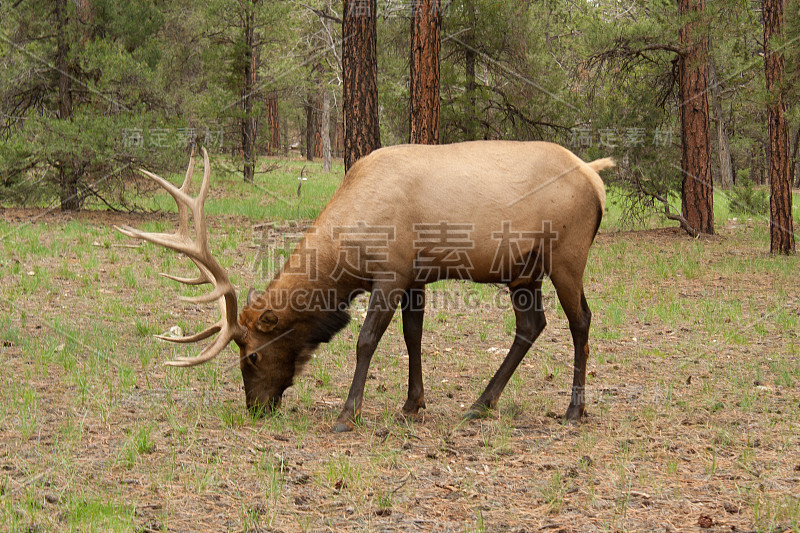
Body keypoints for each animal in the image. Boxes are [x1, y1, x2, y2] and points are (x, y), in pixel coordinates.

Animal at [117, 142, 612, 432]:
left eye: (252, 355)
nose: (255, 408)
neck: (348, 250)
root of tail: (596, 178)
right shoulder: (416, 276)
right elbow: (413, 337)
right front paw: (412, 404)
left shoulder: (390, 273)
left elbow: (366, 339)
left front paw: (346, 413)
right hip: (524, 272)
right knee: (532, 324)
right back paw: (480, 403)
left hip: (567, 257)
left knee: (581, 322)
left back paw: (573, 410)